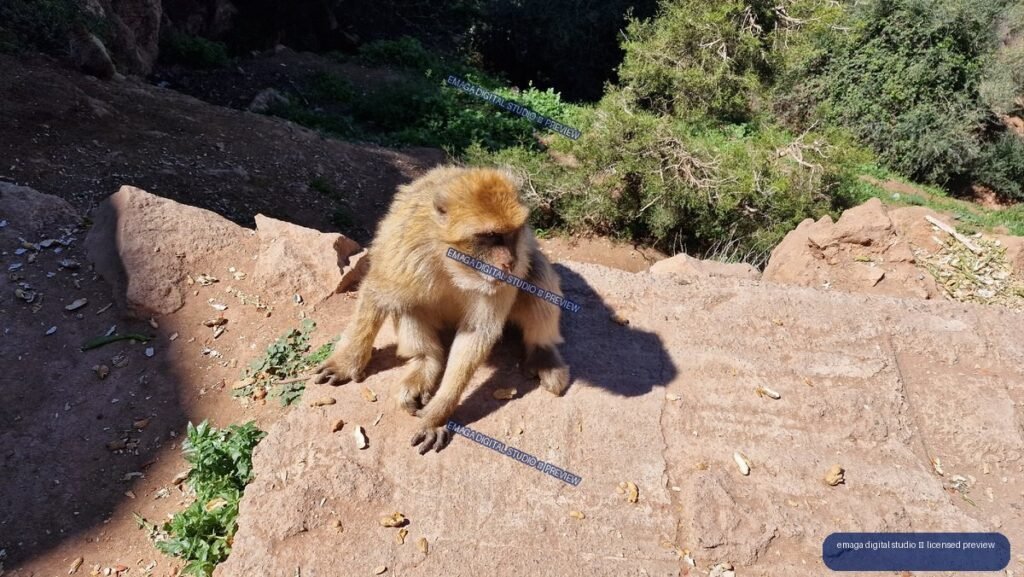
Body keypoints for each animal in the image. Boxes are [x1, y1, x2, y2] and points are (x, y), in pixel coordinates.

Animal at [314, 166, 570, 454]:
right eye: (491, 237)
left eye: (511, 233)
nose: (508, 262)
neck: (455, 263)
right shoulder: (406, 252)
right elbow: (377, 294)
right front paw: (347, 362)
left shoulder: (507, 272)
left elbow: (476, 333)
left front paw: (437, 415)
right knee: (407, 304)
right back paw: (426, 362)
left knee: (538, 274)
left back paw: (542, 353)